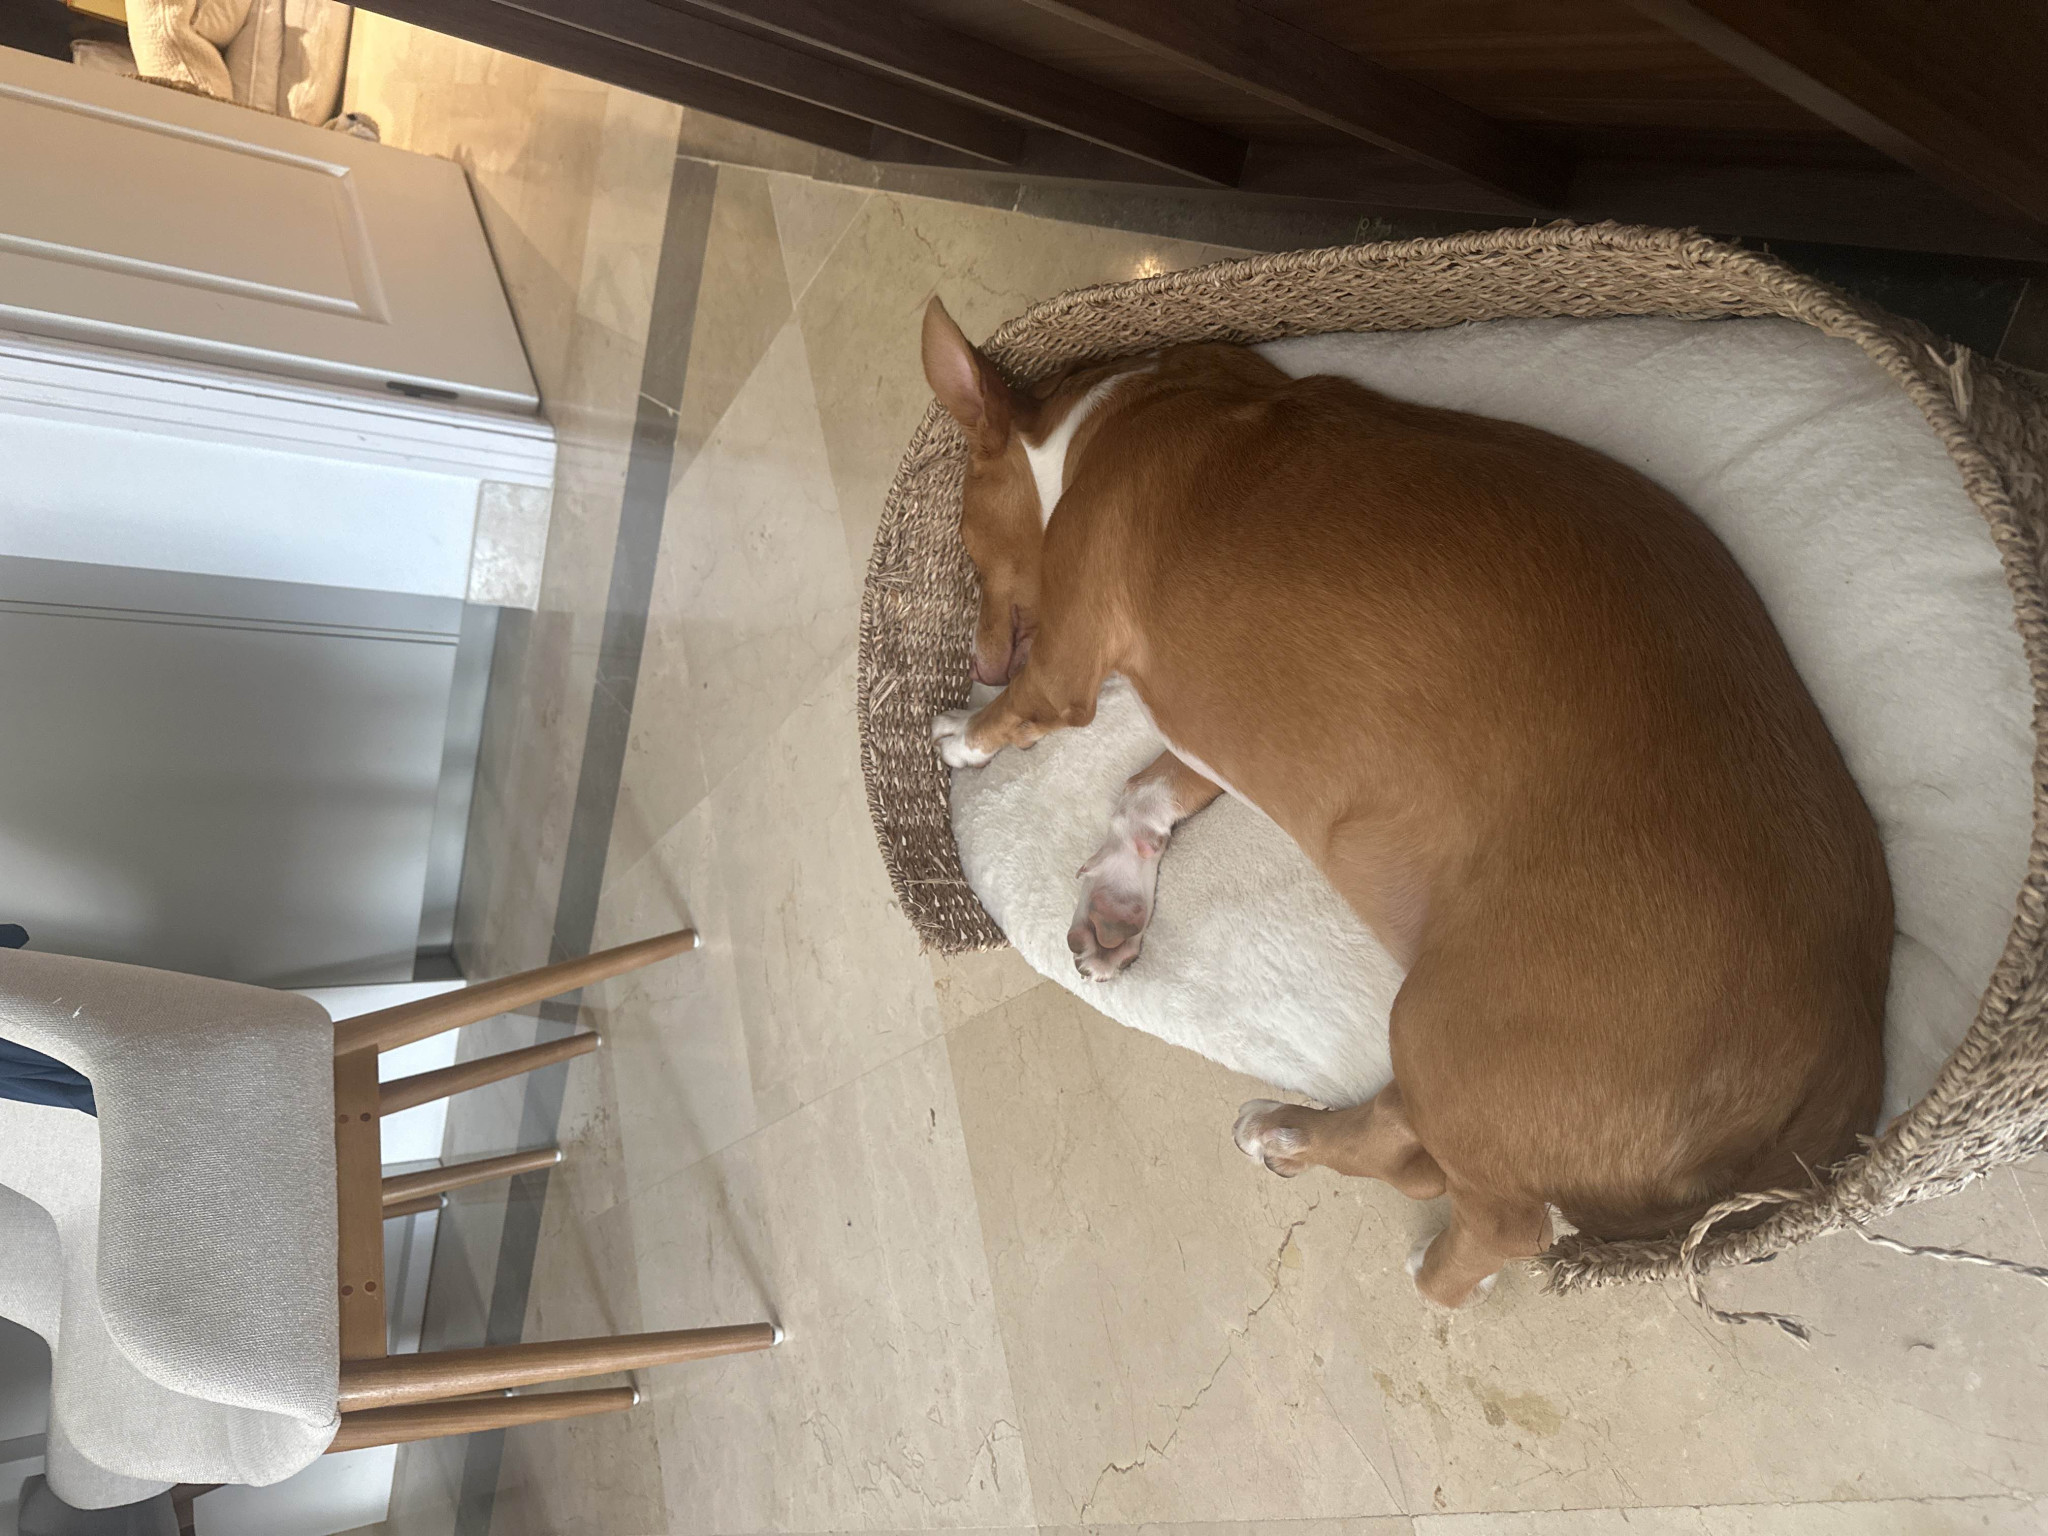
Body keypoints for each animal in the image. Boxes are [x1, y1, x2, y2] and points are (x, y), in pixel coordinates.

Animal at [920, 298, 1890, 1308]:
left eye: (967, 545)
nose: (977, 660)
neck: (1113, 411)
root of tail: (1846, 1045)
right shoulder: (1225, 731)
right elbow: (1143, 792)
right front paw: (1116, 900)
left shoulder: (1067, 667)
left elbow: (1027, 715)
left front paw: (961, 734)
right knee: (1413, 1152)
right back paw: (1286, 1134)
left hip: (1450, 1030)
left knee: (1497, 1216)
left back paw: (1429, 1267)